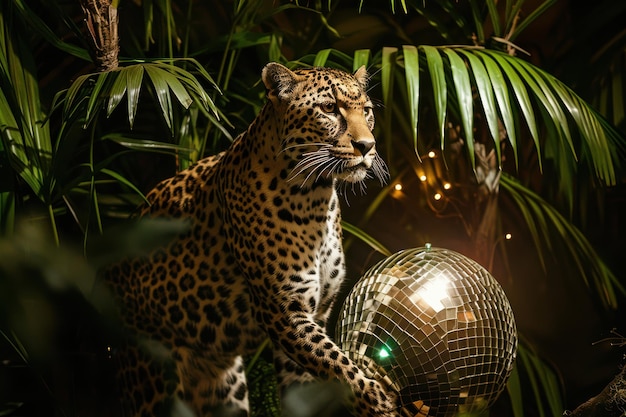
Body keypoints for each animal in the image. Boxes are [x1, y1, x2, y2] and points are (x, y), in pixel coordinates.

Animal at [100, 61, 398, 416]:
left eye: (366, 111)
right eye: (329, 109)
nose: (367, 146)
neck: (317, 198)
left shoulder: (316, 314)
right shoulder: (286, 312)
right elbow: (337, 365)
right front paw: (378, 401)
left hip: (224, 387)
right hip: (153, 377)